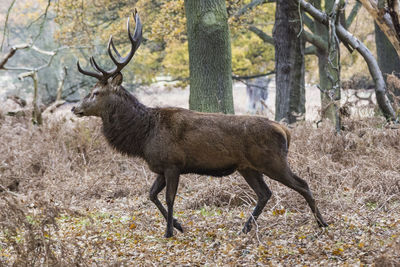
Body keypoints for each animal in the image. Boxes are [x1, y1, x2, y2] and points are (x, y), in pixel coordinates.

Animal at [72, 12, 328, 239]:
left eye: (95, 93)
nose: (75, 108)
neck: (144, 137)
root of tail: (285, 130)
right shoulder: (161, 167)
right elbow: (151, 195)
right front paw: (178, 226)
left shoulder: (172, 163)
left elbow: (169, 198)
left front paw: (168, 232)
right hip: (247, 166)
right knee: (265, 193)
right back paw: (245, 228)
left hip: (272, 160)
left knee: (302, 184)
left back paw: (321, 223)